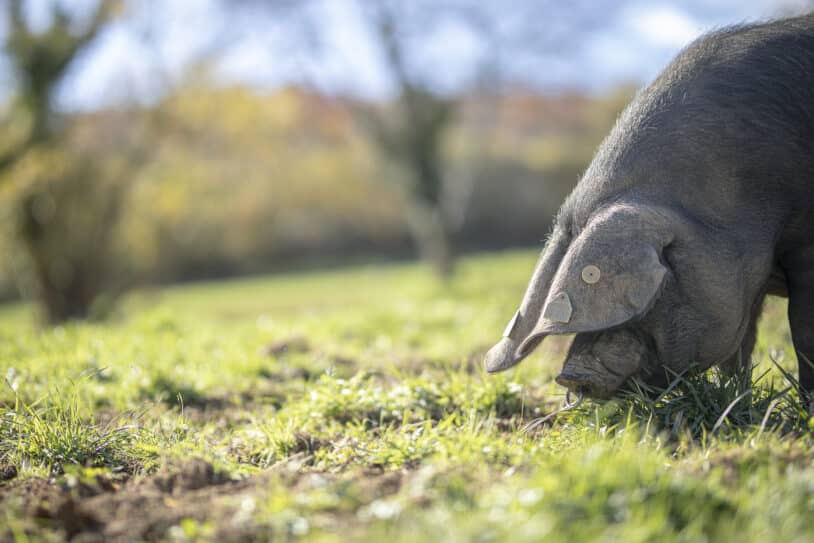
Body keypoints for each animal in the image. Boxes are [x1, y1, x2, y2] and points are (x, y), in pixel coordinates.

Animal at [484, 13, 814, 404]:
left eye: (658, 291)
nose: (571, 375)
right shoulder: (747, 286)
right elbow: (740, 348)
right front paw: (736, 396)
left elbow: (803, 331)